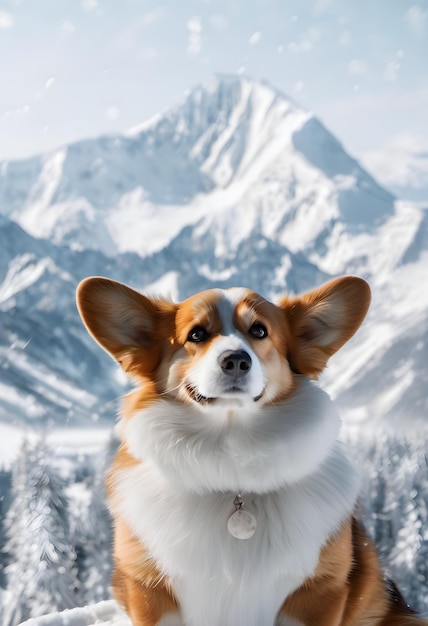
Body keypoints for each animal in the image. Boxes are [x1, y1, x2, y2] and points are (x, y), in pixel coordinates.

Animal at [75, 276, 426, 620]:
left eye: (259, 330)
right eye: (197, 334)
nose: (235, 361)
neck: (231, 462)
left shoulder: (319, 590)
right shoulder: (149, 590)